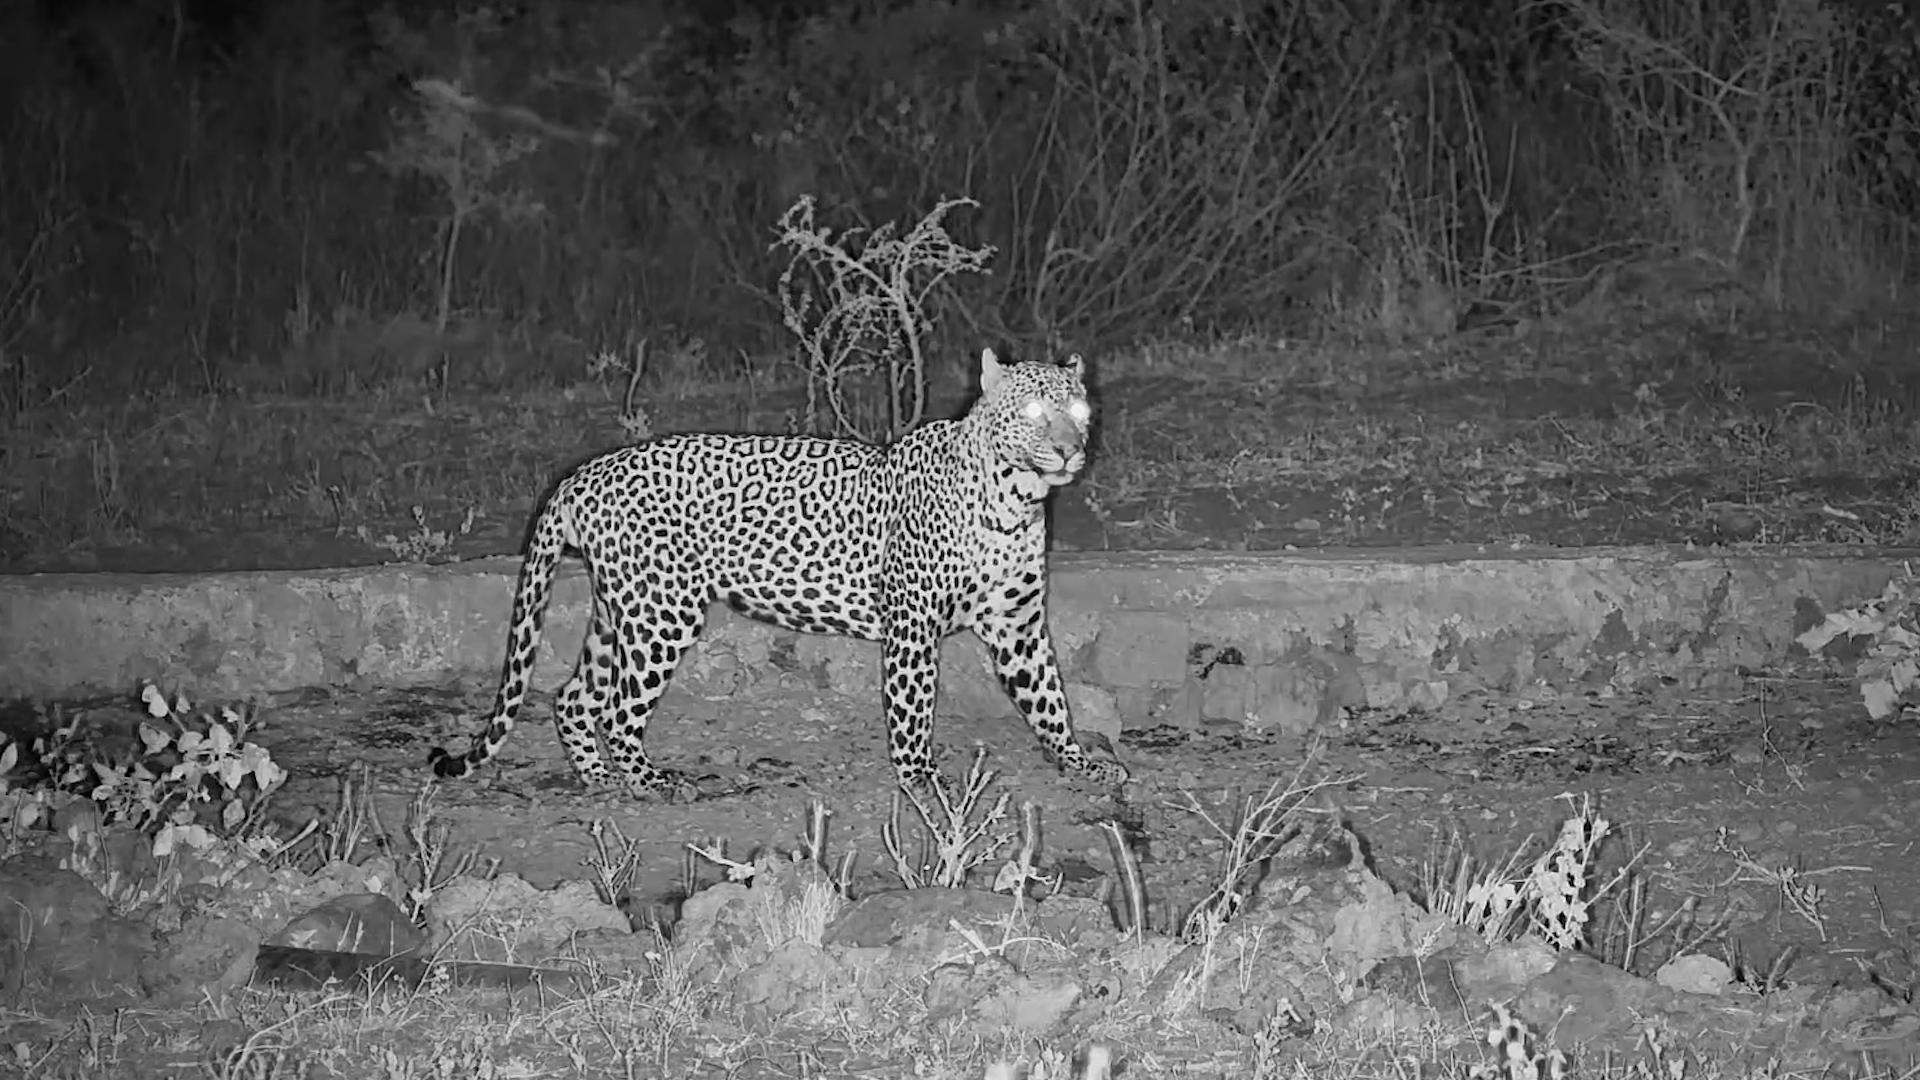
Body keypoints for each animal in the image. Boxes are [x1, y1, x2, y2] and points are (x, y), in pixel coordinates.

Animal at [427, 348, 1130, 795]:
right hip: (663, 614)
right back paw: (650, 781)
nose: (1071, 450)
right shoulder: (912, 630)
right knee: (620, 710)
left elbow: (1049, 699)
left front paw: (1081, 763)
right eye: (1034, 415)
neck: (1015, 500)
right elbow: (913, 709)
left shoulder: (1018, 626)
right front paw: (920, 780)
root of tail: (581, 474)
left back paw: (598, 778)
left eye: (1081, 414)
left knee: (576, 697)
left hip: (619, 608)